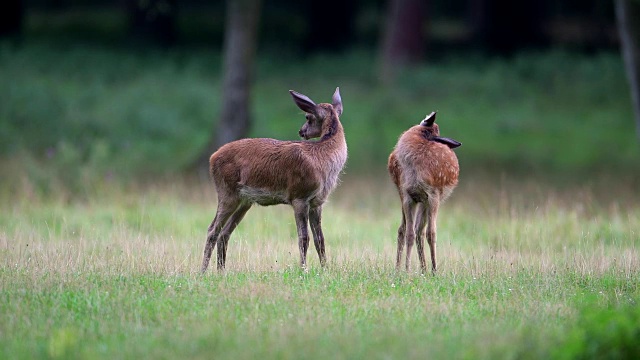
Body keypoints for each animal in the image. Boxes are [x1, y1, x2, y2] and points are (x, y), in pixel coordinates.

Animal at [201, 88, 348, 272]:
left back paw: (221, 271)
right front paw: (303, 269)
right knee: (212, 229)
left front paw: (325, 268)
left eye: (308, 117)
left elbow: (320, 239)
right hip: (227, 192)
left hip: (244, 200)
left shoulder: (317, 202)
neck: (323, 160)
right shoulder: (299, 196)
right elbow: (303, 237)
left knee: (224, 232)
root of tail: (212, 158)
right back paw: (203, 271)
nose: (301, 131)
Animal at [384, 112, 460, 272]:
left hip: (425, 200)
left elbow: (431, 233)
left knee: (420, 229)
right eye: (436, 130)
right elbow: (410, 233)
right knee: (409, 229)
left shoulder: (433, 194)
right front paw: (407, 268)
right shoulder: (408, 195)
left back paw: (424, 268)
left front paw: (434, 269)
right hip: (408, 196)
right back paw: (408, 268)